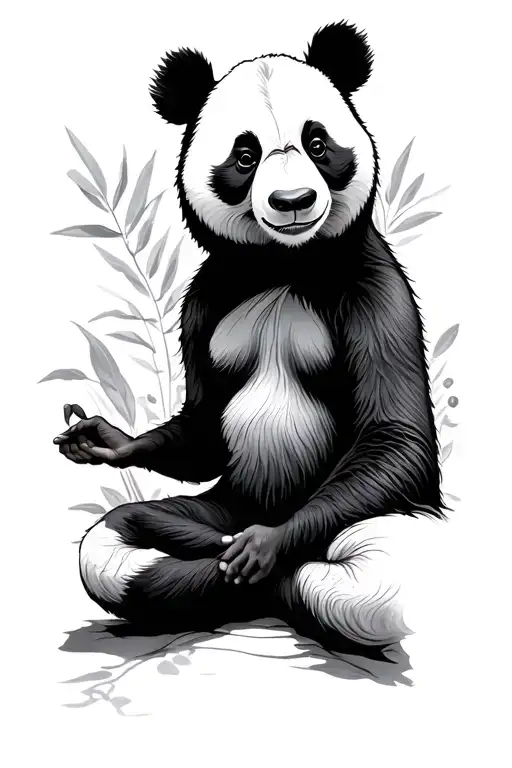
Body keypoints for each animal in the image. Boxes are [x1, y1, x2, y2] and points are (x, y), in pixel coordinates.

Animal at [57, 21, 444, 649]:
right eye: (246, 155)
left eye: (317, 144)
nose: (293, 203)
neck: (283, 263)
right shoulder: (206, 298)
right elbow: (205, 425)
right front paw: (105, 439)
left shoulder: (373, 286)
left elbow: (396, 434)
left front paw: (267, 546)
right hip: (225, 501)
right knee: (107, 546)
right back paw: (183, 546)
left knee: (383, 570)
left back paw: (257, 565)